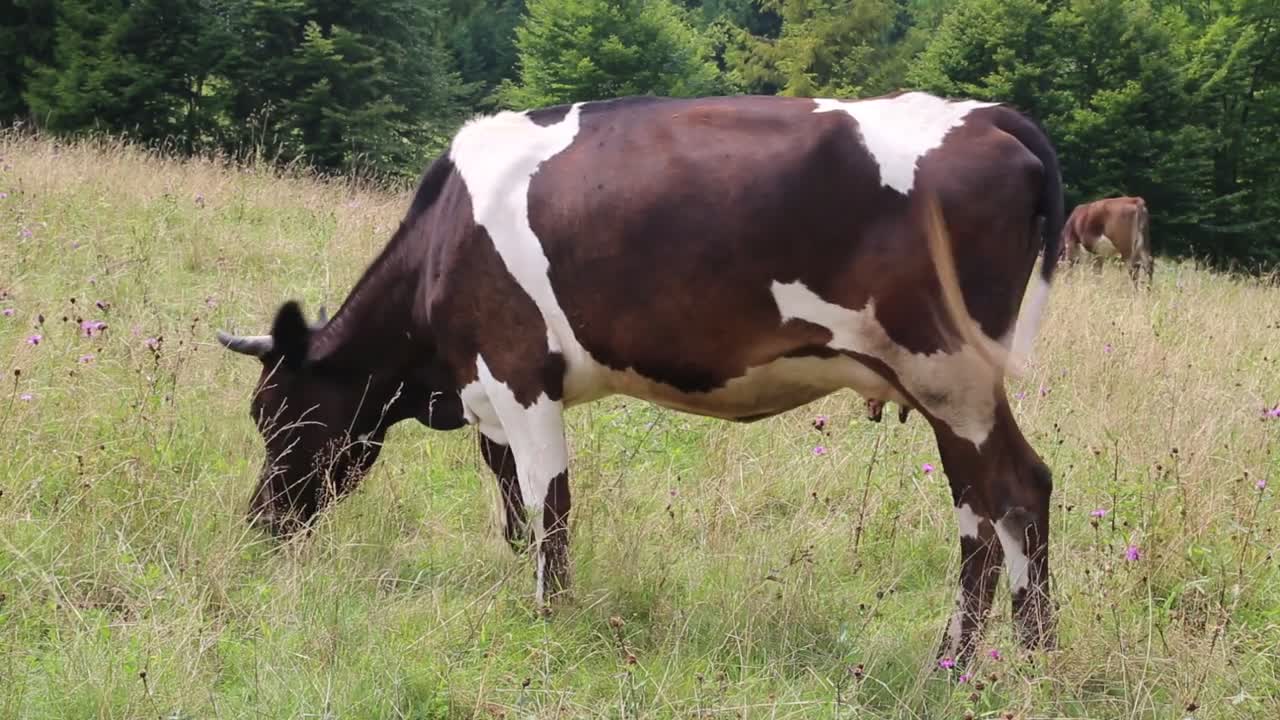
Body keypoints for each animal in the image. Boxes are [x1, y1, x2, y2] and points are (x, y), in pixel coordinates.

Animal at [217, 92, 1059, 661]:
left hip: (950, 374)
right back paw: (1001, 656)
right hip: (950, 387)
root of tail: (987, 117)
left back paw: (985, 660)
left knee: (1011, 492)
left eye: (275, 414)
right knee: (997, 505)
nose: (259, 525)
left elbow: (549, 502)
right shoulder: (489, 393)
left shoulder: (520, 371)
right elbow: (510, 495)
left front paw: (549, 617)